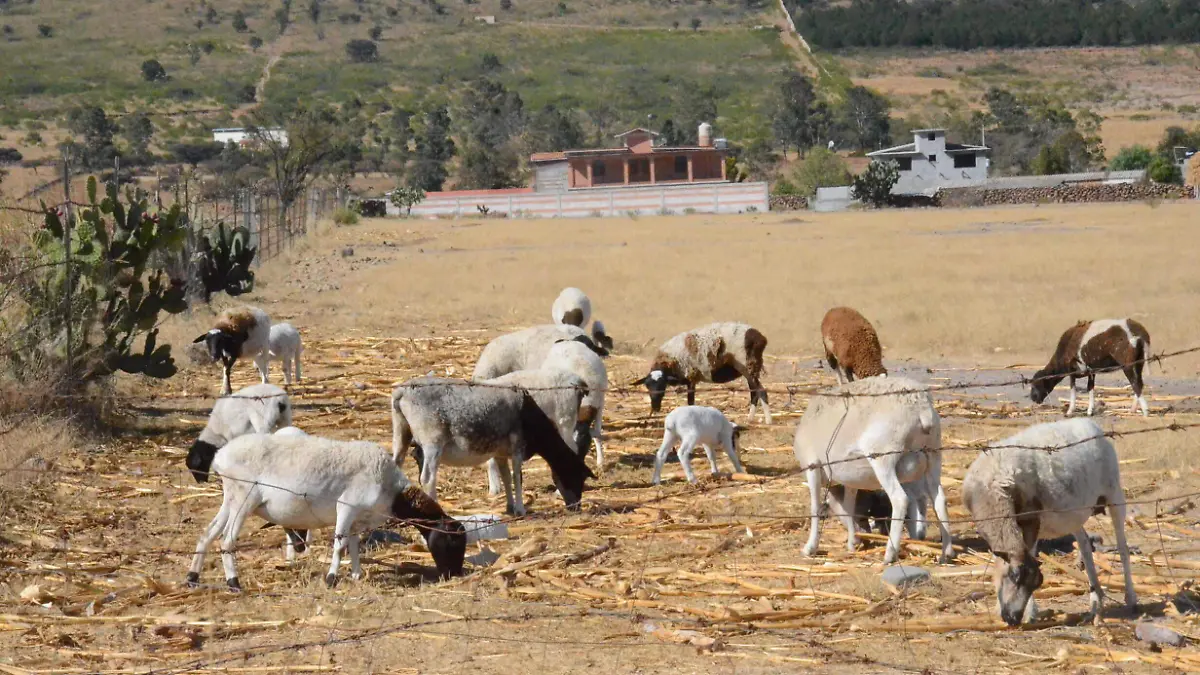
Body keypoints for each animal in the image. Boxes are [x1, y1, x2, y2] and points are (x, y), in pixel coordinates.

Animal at [184, 432, 465, 586]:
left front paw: (356, 575)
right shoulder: (347, 506)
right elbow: (339, 545)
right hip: (245, 496)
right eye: (451, 541)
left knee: (207, 533)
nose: (454, 574)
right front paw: (331, 579)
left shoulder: (357, 518)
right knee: (226, 539)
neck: (392, 491)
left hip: (230, 497)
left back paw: (192, 578)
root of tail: (220, 457)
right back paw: (234, 582)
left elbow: (353, 545)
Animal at [393, 374, 595, 511]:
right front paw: (520, 509)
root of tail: (401, 392)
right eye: (576, 476)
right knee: (428, 478)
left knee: (396, 464)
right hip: (432, 440)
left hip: (400, 432)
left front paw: (510, 507)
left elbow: (506, 477)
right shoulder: (518, 446)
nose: (576, 507)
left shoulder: (500, 453)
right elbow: (517, 477)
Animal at [633, 319, 772, 420]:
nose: (655, 407)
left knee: (761, 391)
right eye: (647, 386)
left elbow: (690, 402)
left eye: (662, 385)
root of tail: (760, 338)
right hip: (749, 370)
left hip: (747, 367)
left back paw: (767, 421)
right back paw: (750, 419)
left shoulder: (690, 377)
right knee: (755, 392)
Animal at [792, 372, 950, 562]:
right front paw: (852, 542)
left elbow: (815, 508)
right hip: (934, 456)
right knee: (939, 499)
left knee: (900, 499)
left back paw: (890, 553)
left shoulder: (813, 466)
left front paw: (810, 547)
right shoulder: (850, 480)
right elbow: (849, 507)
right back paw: (947, 552)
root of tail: (920, 406)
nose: (862, 536)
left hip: (883, 457)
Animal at [960, 417, 1137, 624]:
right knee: (1085, 545)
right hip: (1074, 513)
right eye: (1014, 576)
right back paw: (1096, 600)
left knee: (1123, 547)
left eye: (1035, 584)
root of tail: (1089, 423)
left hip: (1114, 493)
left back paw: (1131, 598)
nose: (1013, 618)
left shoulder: (1031, 520)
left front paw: (1029, 612)